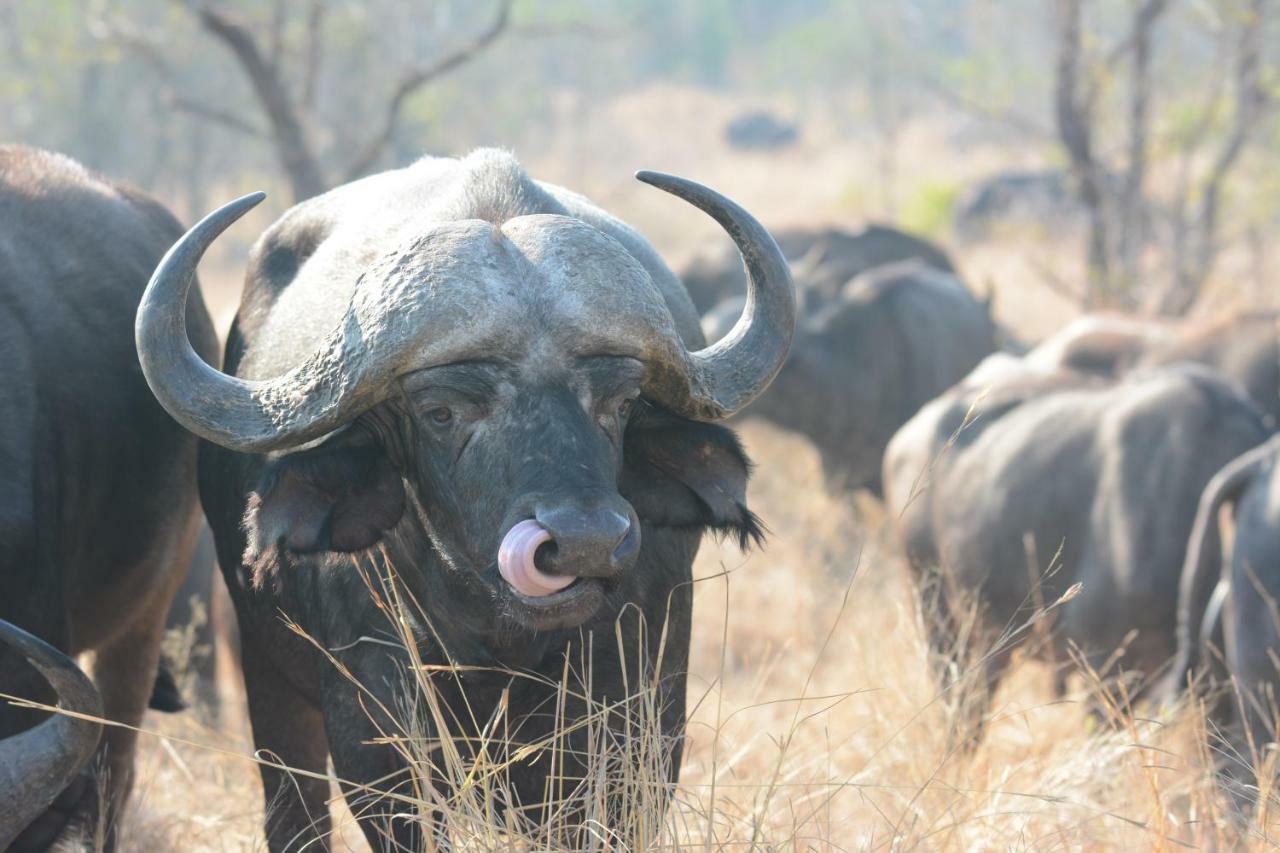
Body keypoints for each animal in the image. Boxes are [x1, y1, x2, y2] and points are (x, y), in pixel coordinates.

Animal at [132, 149, 788, 845]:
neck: (497, 636)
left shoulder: (640, 721)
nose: (585, 542)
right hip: (269, 687)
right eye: (441, 411)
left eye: (621, 402)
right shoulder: (377, 742)